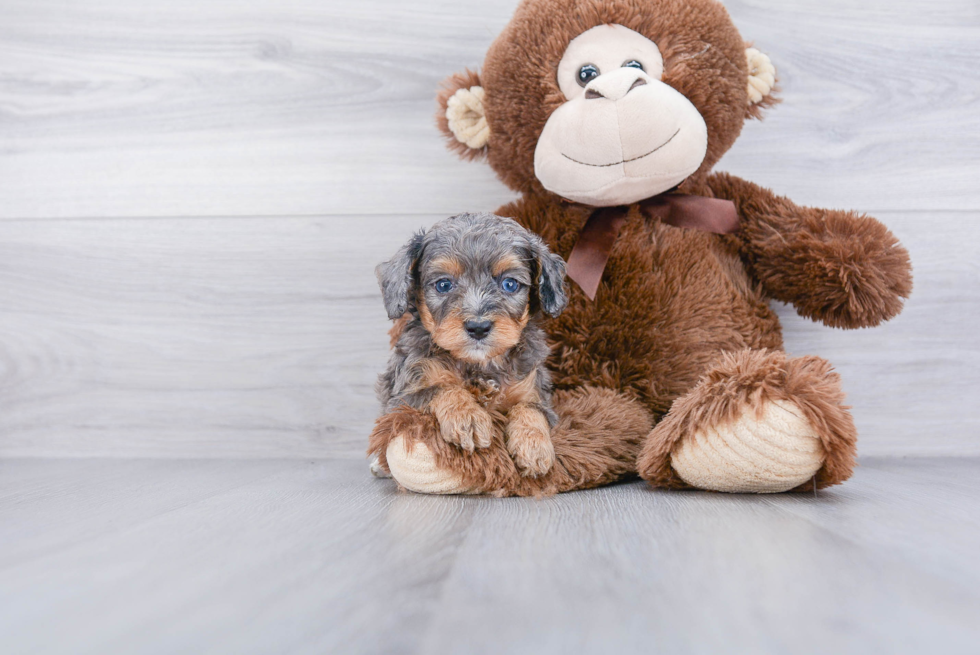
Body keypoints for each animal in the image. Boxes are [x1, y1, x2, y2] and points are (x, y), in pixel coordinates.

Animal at [370, 214, 568, 476]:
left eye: (510, 284)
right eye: (443, 285)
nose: (478, 327)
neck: (479, 364)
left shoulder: (533, 387)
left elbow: (531, 409)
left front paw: (534, 445)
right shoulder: (403, 395)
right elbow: (442, 389)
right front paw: (468, 417)